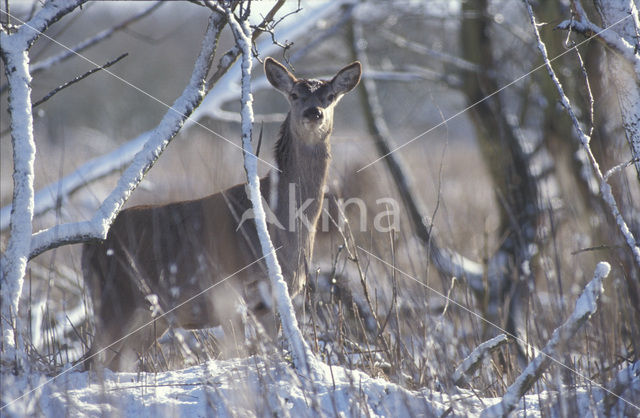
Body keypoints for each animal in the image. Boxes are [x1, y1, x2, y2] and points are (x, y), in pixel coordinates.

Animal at [80, 57, 362, 370]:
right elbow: (238, 352)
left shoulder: (271, 299)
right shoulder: (229, 290)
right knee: (90, 360)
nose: (314, 112)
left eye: (330, 96)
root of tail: (88, 248)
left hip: (149, 315)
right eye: (294, 95)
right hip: (114, 297)